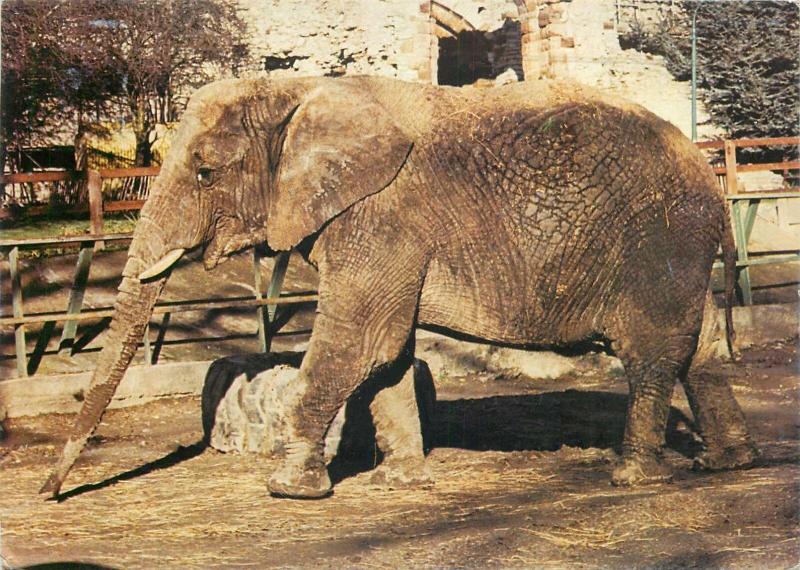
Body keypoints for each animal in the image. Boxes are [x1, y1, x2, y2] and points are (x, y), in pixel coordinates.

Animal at [42, 75, 758, 499]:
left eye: (206, 171)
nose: (50, 492)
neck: (303, 93)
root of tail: (714, 187)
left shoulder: (380, 218)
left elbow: (360, 342)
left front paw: (290, 489)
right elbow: (387, 355)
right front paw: (402, 480)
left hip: (658, 246)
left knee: (651, 356)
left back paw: (632, 475)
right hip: (678, 255)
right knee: (700, 354)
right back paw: (727, 464)